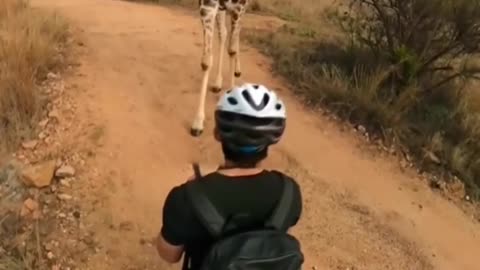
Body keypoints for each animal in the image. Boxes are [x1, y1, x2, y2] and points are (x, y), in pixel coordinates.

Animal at [190, 0, 249, 136]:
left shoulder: (240, 5)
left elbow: (232, 50)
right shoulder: (207, 5)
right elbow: (206, 61)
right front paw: (198, 122)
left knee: (237, 32)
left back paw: (237, 70)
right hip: (222, 8)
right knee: (223, 33)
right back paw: (218, 83)